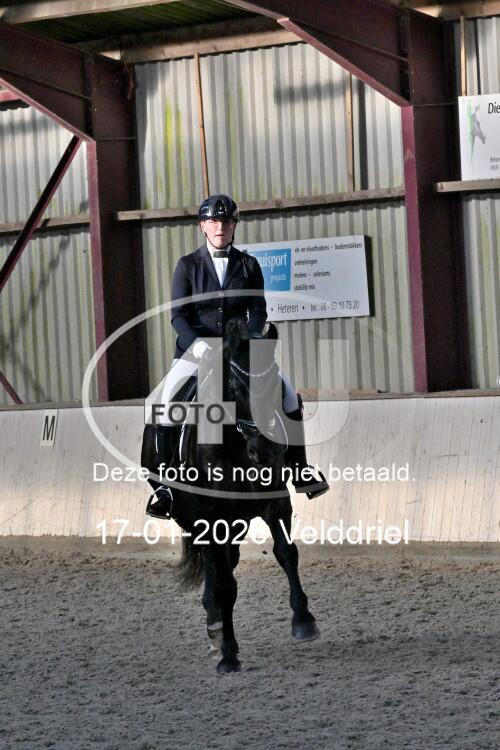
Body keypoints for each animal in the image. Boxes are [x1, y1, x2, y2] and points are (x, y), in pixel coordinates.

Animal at [141, 318, 320, 674]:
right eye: (235, 389)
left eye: (274, 388)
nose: (264, 451)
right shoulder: (210, 517)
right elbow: (225, 583)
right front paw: (228, 653)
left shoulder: (275, 501)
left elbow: (286, 553)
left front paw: (303, 620)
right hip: (197, 519)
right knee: (218, 572)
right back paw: (217, 629)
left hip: (236, 521)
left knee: (226, 565)